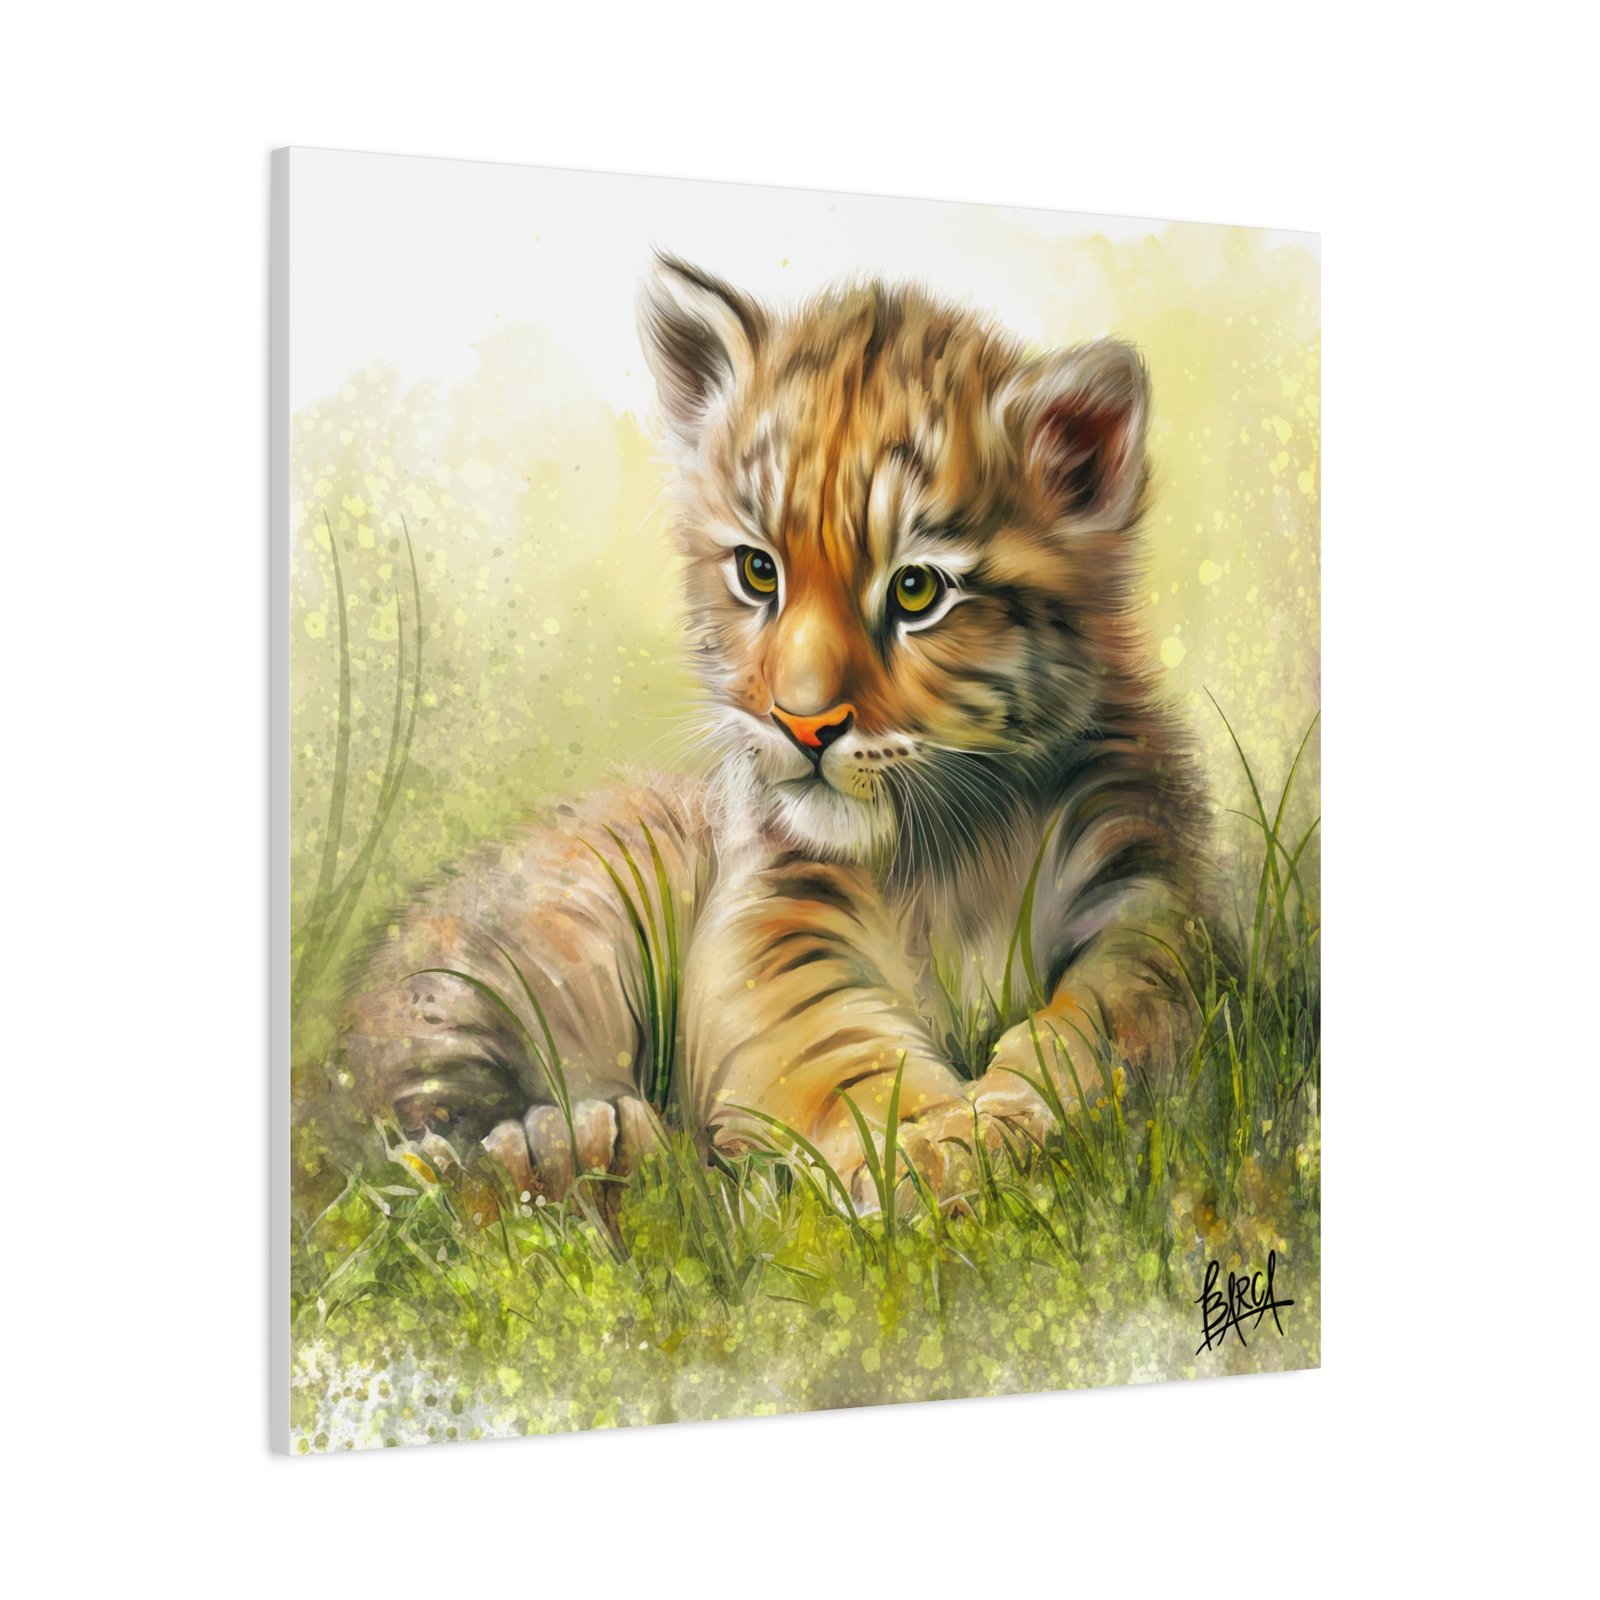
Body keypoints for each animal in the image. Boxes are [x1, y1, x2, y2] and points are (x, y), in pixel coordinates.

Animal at [333, 253, 1209, 1209]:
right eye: (759, 571)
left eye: (916, 590)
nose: (802, 723)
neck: (951, 850)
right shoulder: (775, 915)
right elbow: (836, 1046)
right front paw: (931, 1150)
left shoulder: (1142, 896)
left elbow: (1112, 1017)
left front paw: (1004, 1120)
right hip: (497, 965)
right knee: (407, 1149)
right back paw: (576, 1146)